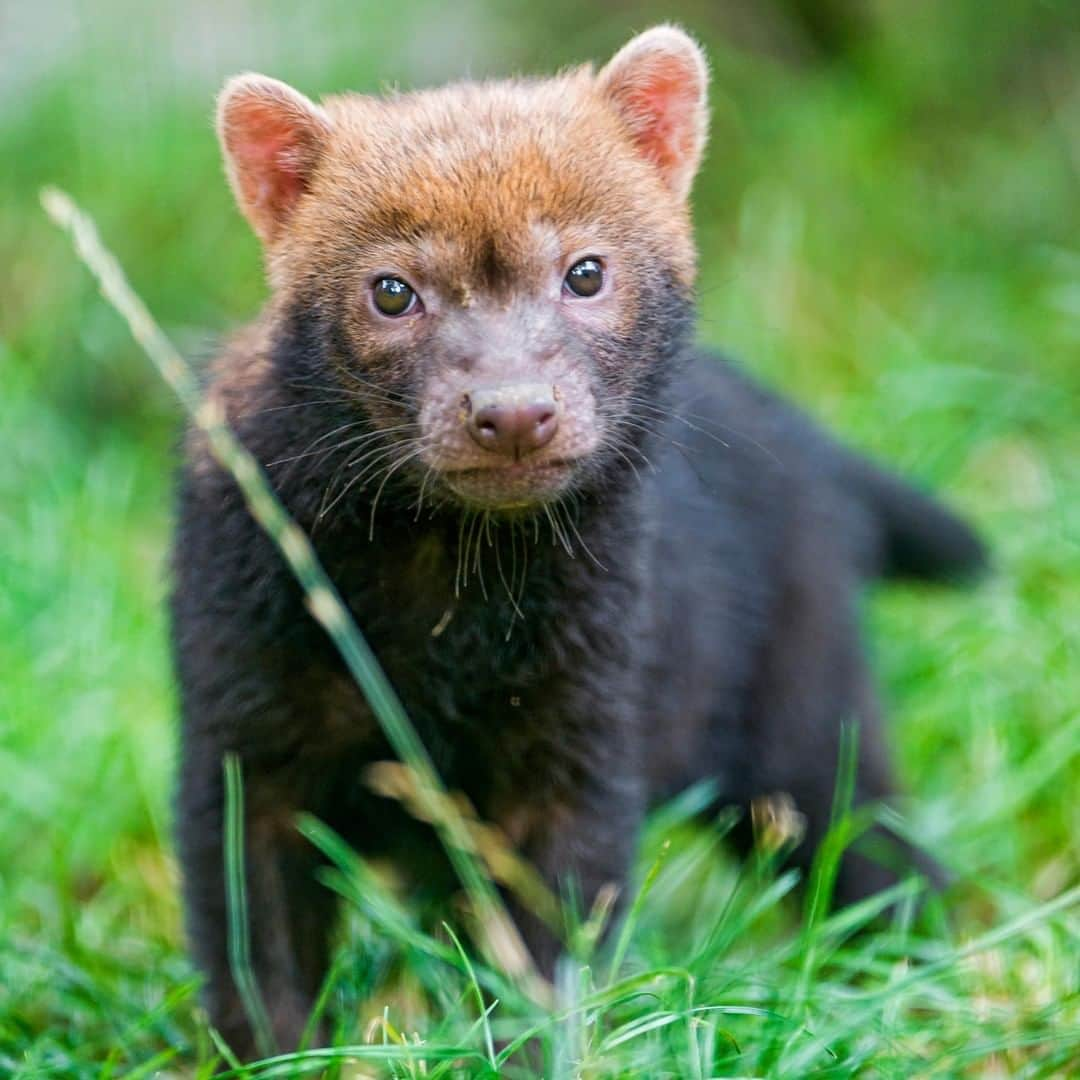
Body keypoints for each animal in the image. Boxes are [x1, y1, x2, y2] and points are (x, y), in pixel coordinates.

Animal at [170, 25, 989, 1054]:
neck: (439, 644)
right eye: (392, 291)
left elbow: (551, 942)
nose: (513, 408)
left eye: (587, 270)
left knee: (879, 852)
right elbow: (254, 954)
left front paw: (528, 1045)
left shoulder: (587, 730)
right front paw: (283, 1056)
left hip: (807, 717)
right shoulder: (241, 739)